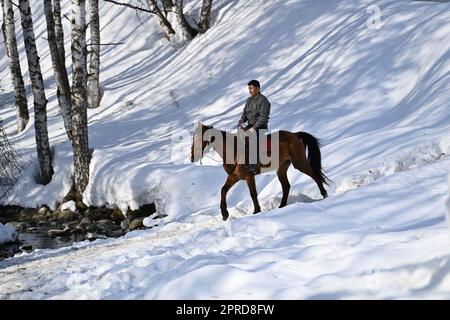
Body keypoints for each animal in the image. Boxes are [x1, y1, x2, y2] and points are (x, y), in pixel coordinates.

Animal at [190, 121, 330, 221]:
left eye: (199, 139)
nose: (192, 157)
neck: (234, 151)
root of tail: (294, 135)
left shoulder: (249, 176)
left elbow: (253, 194)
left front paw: (256, 211)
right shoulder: (234, 177)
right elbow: (223, 190)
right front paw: (225, 214)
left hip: (299, 163)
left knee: (314, 175)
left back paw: (324, 194)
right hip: (282, 168)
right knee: (286, 186)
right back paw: (282, 206)